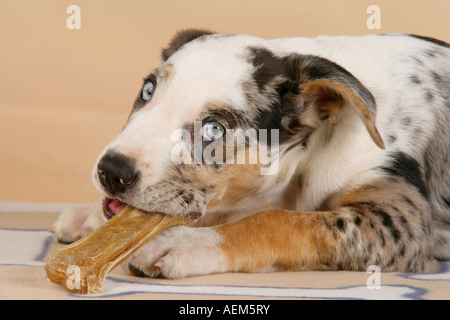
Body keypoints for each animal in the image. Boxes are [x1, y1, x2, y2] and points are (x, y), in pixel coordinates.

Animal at [51, 29, 448, 278]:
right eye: (148, 90)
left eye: (214, 129)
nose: (111, 171)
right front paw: (92, 219)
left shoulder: (401, 223)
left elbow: (276, 220)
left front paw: (184, 243)